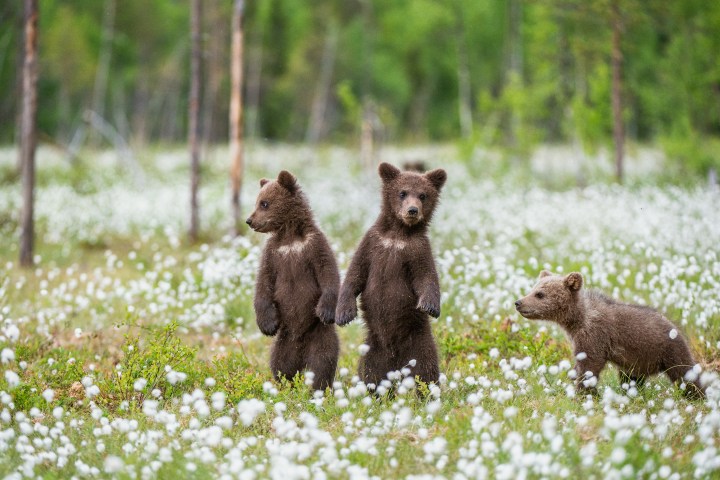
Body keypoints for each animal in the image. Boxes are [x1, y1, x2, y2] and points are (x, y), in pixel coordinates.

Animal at [246, 170, 340, 391]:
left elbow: (328, 272)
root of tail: (301, 350)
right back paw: (284, 385)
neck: (290, 237)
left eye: (264, 203)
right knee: (280, 363)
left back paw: (318, 388)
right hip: (285, 340)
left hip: (320, 335)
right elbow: (263, 283)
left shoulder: (314, 245)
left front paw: (325, 310)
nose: (249, 220)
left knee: (323, 361)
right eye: (257, 201)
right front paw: (267, 324)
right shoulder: (273, 253)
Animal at [335, 162, 447, 388]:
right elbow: (355, 274)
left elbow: (426, 277)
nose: (412, 210)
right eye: (402, 192)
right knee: (370, 373)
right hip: (373, 349)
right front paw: (344, 313)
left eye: (423, 195)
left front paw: (430, 305)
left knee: (427, 370)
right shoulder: (373, 244)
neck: (398, 235)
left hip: (419, 343)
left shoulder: (417, 250)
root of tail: (396, 363)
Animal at [515, 270, 705, 398]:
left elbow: (590, 364)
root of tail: (675, 326)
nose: (519, 302)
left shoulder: (594, 335)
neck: (576, 320)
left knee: (685, 373)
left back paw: (697, 395)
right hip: (637, 362)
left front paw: (584, 393)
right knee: (631, 379)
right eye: (532, 289)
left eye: (540, 294)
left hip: (668, 350)